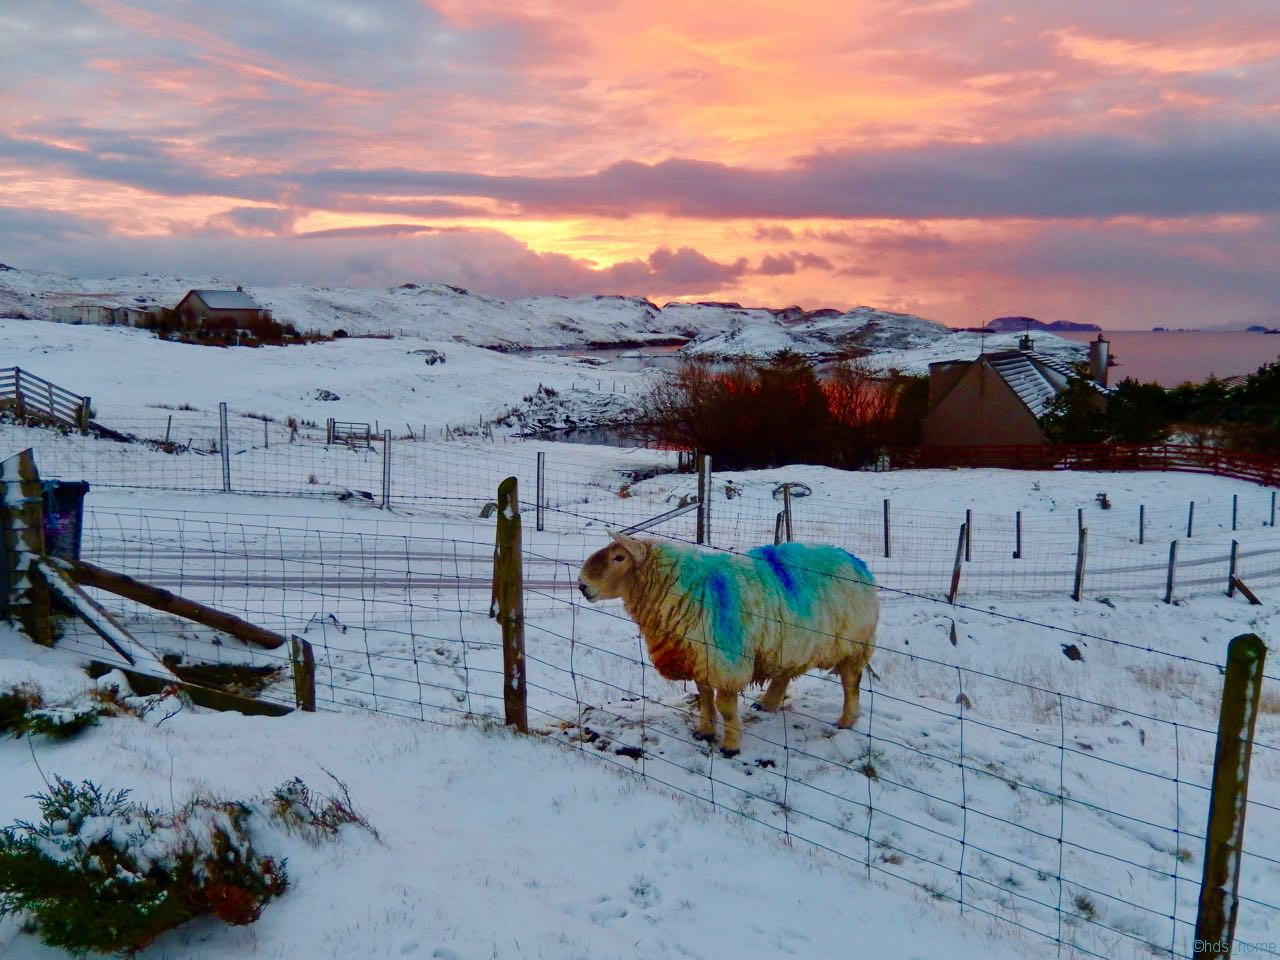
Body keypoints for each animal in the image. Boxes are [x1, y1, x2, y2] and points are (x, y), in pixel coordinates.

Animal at [581, 529, 880, 757]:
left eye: (619, 557)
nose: (582, 585)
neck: (690, 588)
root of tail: (854, 560)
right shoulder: (699, 655)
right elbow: (704, 696)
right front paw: (704, 731)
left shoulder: (726, 661)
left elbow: (724, 706)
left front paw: (731, 746)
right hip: (791, 641)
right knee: (785, 672)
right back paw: (768, 702)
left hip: (854, 642)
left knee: (851, 681)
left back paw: (846, 720)